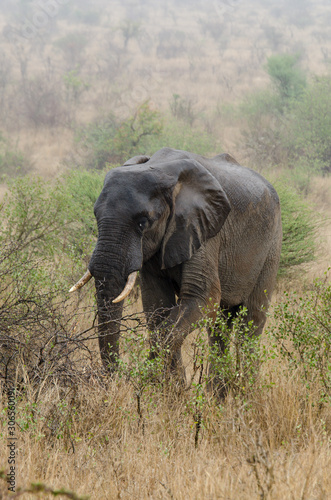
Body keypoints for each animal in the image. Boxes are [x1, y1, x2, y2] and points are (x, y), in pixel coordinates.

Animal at [70, 146, 282, 384]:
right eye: (95, 216)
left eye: (143, 223)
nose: (117, 379)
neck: (160, 168)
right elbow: (156, 302)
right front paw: (173, 388)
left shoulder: (203, 228)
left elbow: (202, 297)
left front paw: (153, 380)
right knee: (219, 328)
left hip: (272, 246)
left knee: (252, 322)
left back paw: (245, 389)